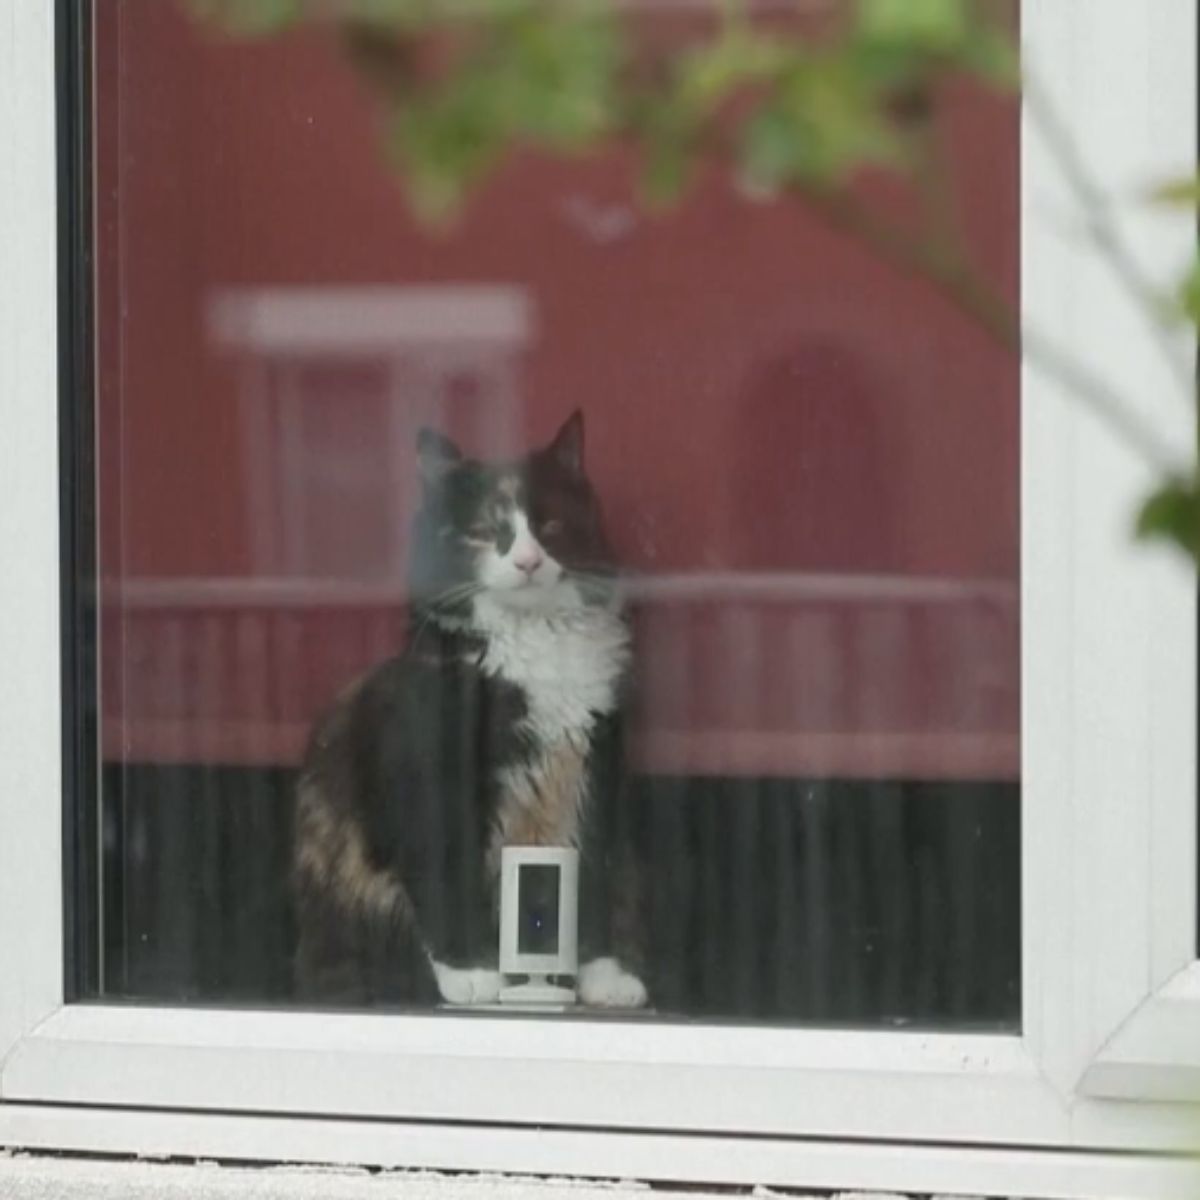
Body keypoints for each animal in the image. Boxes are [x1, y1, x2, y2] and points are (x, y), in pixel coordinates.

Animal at [292, 408, 648, 1008]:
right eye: (484, 532)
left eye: (549, 526)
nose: (527, 561)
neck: (533, 644)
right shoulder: (435, 775)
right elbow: (445, 872)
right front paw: (470, 972)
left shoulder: (595, 768)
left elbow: (593, 875)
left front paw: (601, 972)